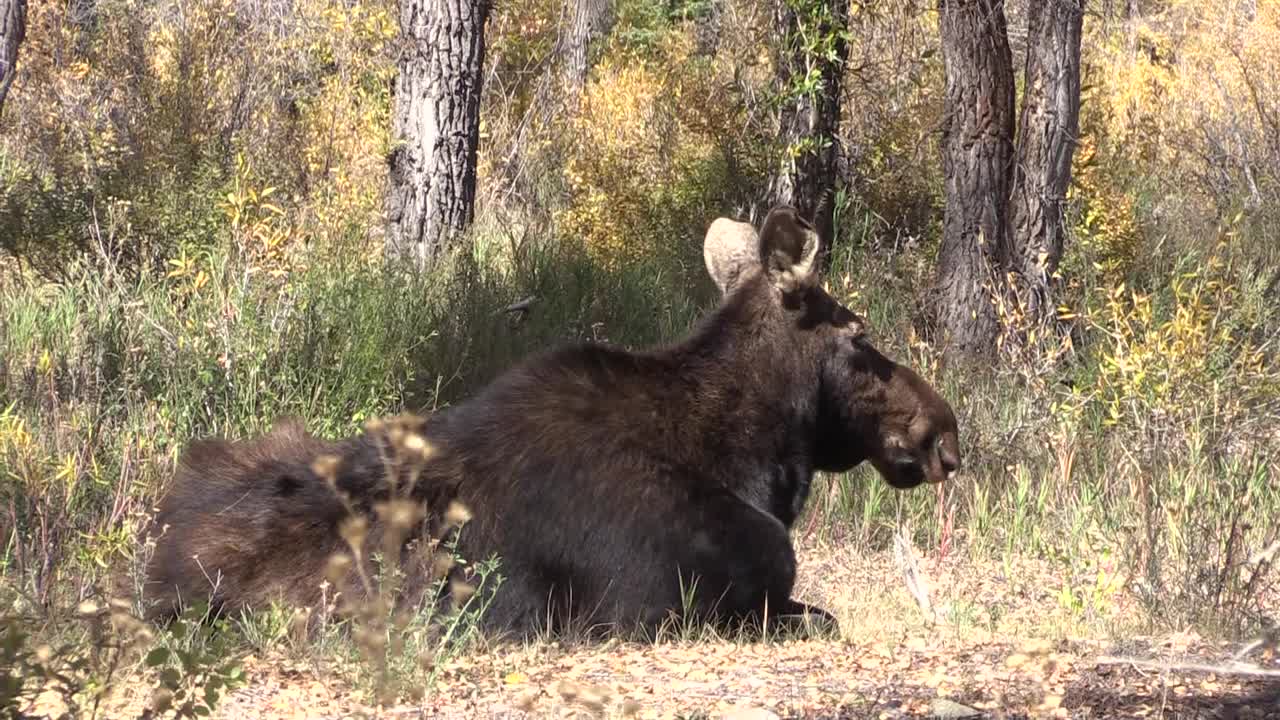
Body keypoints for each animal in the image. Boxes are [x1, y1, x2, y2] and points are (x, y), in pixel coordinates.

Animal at [142, 204, 962, 635]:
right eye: (859, 335)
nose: (943, 432)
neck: (762, 460)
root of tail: (155, 575)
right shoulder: (676, 605)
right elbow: (822, 613)